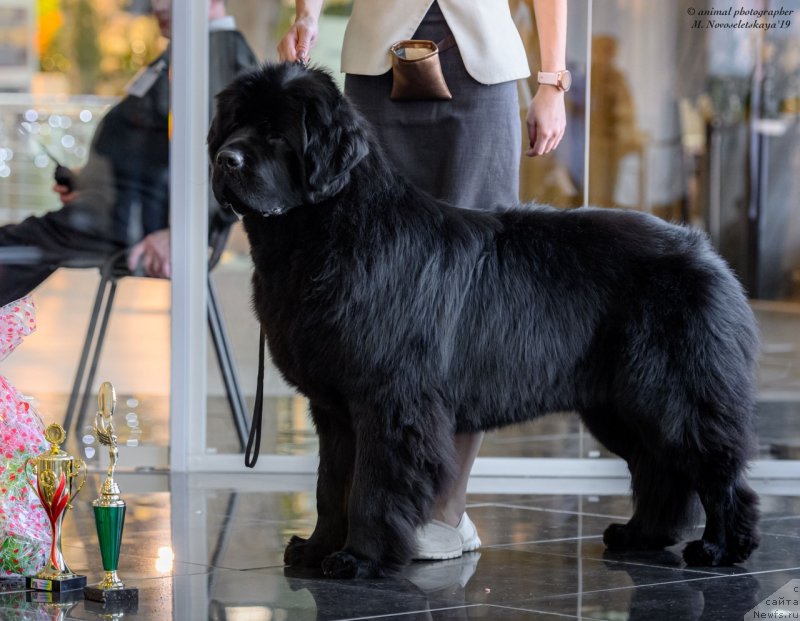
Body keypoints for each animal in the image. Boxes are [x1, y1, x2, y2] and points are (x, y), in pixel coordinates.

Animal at [206, 61, 756, 576]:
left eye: (277, 133)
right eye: (233, 125)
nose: (223, 159)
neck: (323, 235)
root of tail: (705, 250)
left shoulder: (389, 399)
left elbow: (370, 486)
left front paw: (358, 559)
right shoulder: (334, 407)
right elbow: (330, 483)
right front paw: (317, 549)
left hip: (672, 393)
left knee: (713, 467)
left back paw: (720, 547)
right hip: (617, 403)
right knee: (658, 466)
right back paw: (640, 535)